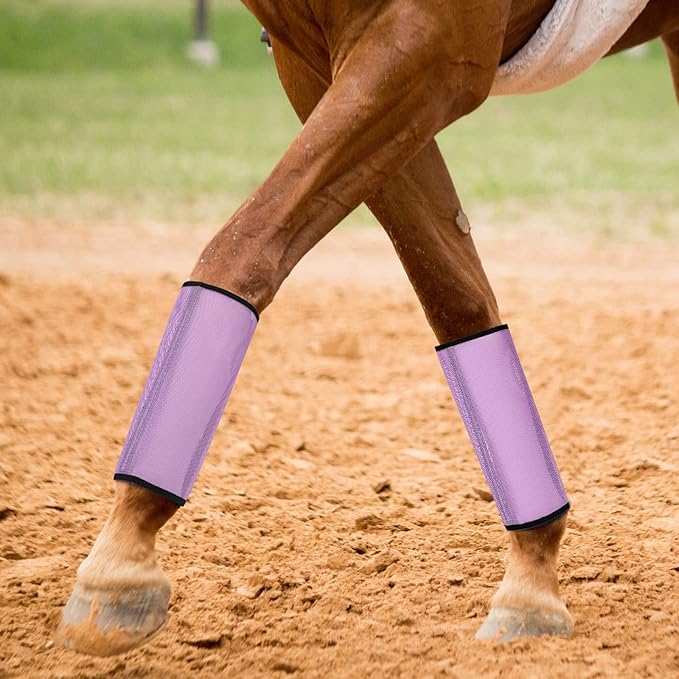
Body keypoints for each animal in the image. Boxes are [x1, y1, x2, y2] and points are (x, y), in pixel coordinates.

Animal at [58, 0, 679, 657]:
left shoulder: (427, 49)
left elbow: (243, 247)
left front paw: (120, 563)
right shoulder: (316, 65)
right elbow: (455, 298)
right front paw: (532, 580)